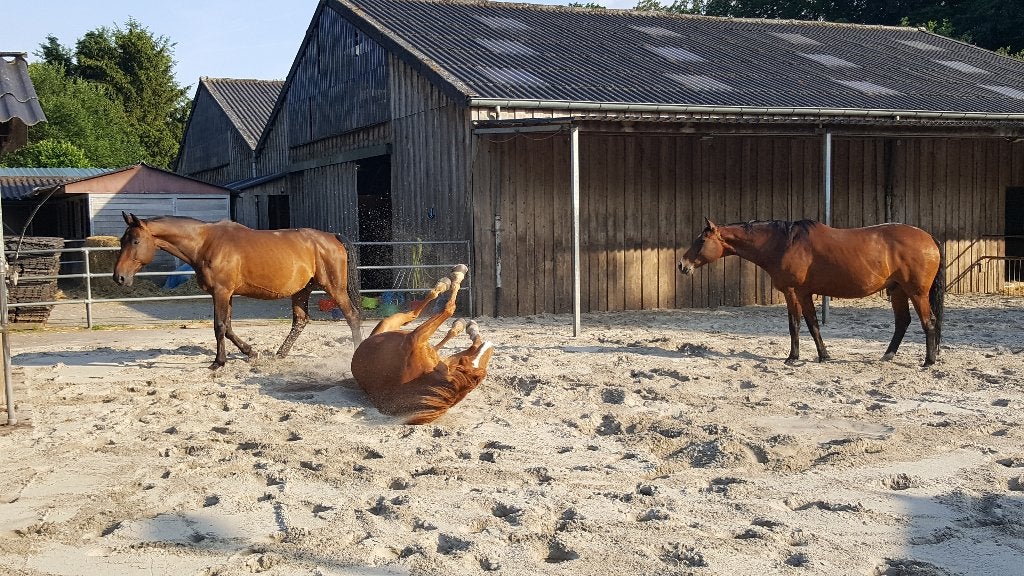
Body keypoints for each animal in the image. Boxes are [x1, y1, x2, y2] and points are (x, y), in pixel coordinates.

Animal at [113, 212, 362, 369]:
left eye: (135, 241)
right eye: (122, 240)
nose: (119, 277)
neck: (205, 243)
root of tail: (332, 237)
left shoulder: (221, 292)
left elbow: (220, 327)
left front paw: (218, 362)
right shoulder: (226, 294)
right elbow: (229, 327)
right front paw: (251, 352)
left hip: (334, 288)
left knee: (352, 316)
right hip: (302, 290)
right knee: (300, 321)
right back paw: (279, 355)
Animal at [351, 264, 494, 424]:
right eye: (469, 363)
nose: (490, 345)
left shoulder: (417, 337)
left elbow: (449, 309)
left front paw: (456, 277)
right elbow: (453, 316)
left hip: (391, 324)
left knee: (415, 314)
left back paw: (449, 284)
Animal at [678, 218, 944, 366]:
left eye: (701, 241)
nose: (682, 265)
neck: (783, 244)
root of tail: (929, 238)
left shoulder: (793, 292)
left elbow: (795, 324)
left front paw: (792, 357)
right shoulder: (804, 294)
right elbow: (813, 324)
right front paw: (823, 355)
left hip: (916, 292)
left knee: (928, 322)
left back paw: (928, 361)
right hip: (897, 290)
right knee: (903, 321)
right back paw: (888, 356)